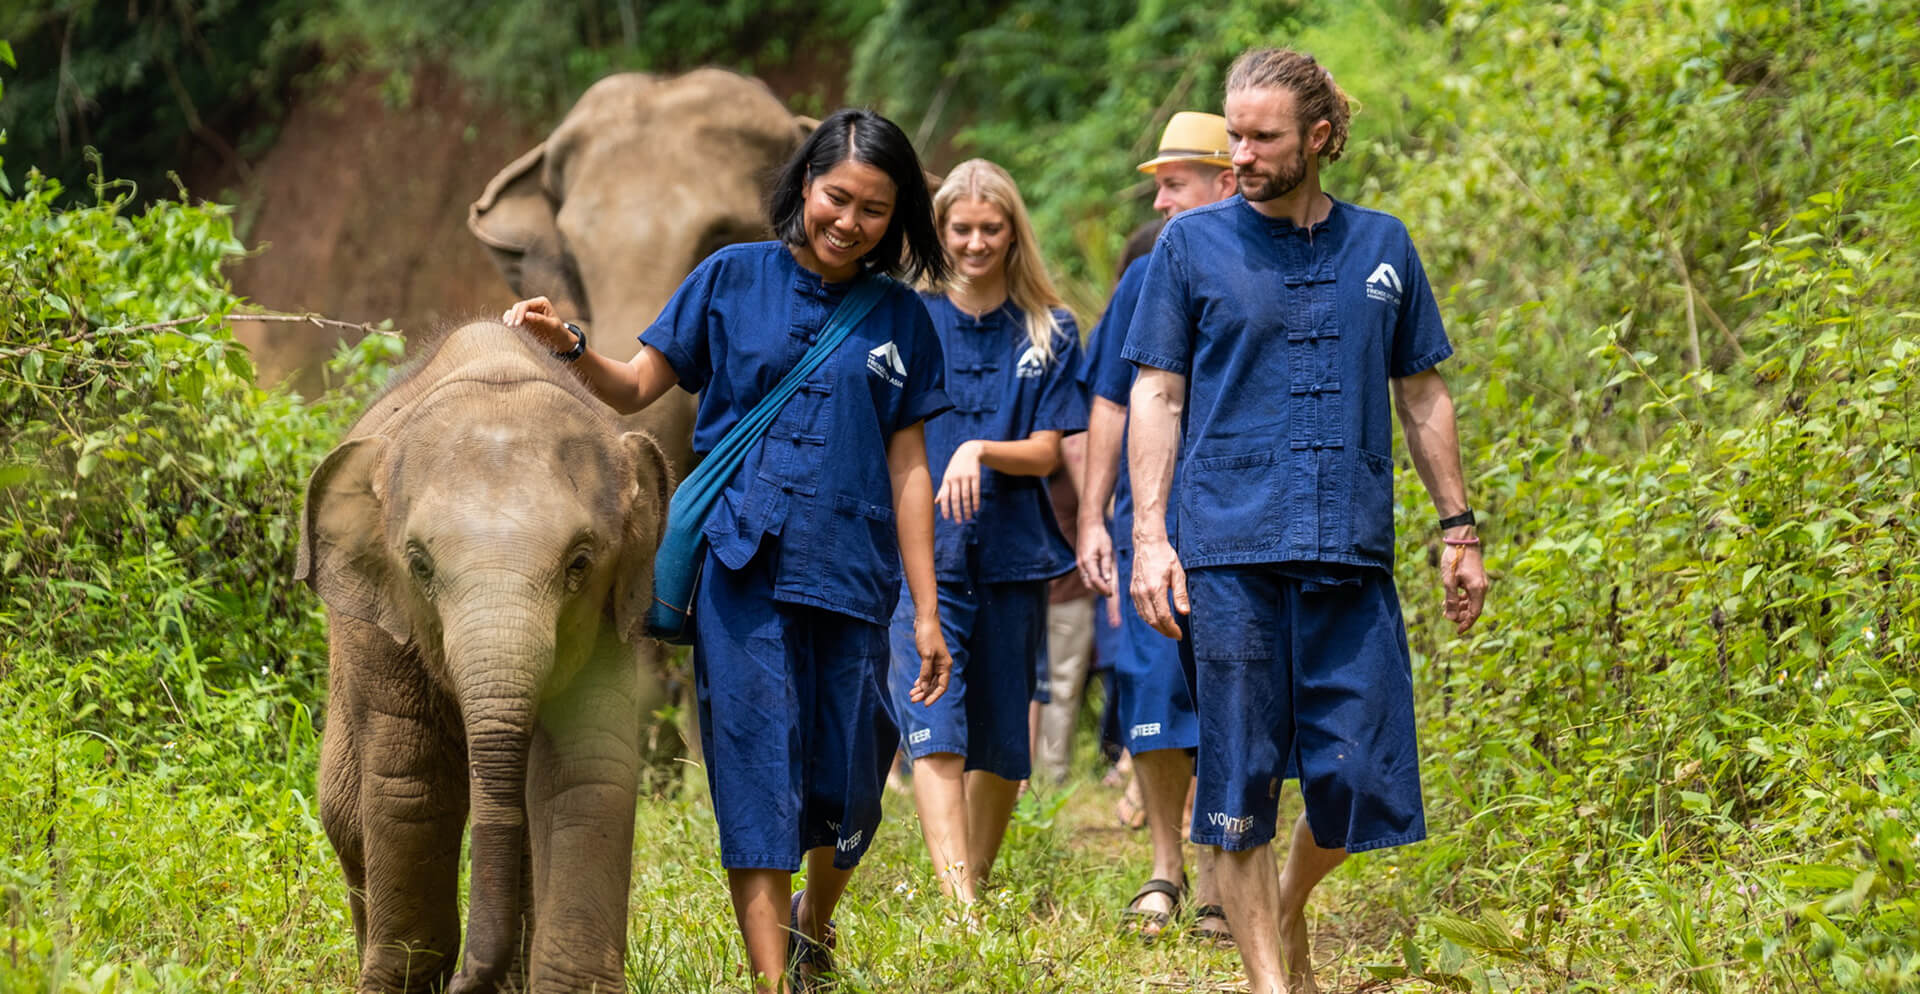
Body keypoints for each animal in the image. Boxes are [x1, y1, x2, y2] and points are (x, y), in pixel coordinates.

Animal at [295, 324, 679, 990]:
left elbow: (588, 770)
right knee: (346, 812)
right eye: (419, 565)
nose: (465, 981)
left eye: (580, 563)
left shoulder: (610, 620)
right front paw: (403, 981)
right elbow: (413, 778)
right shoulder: (379, 629)